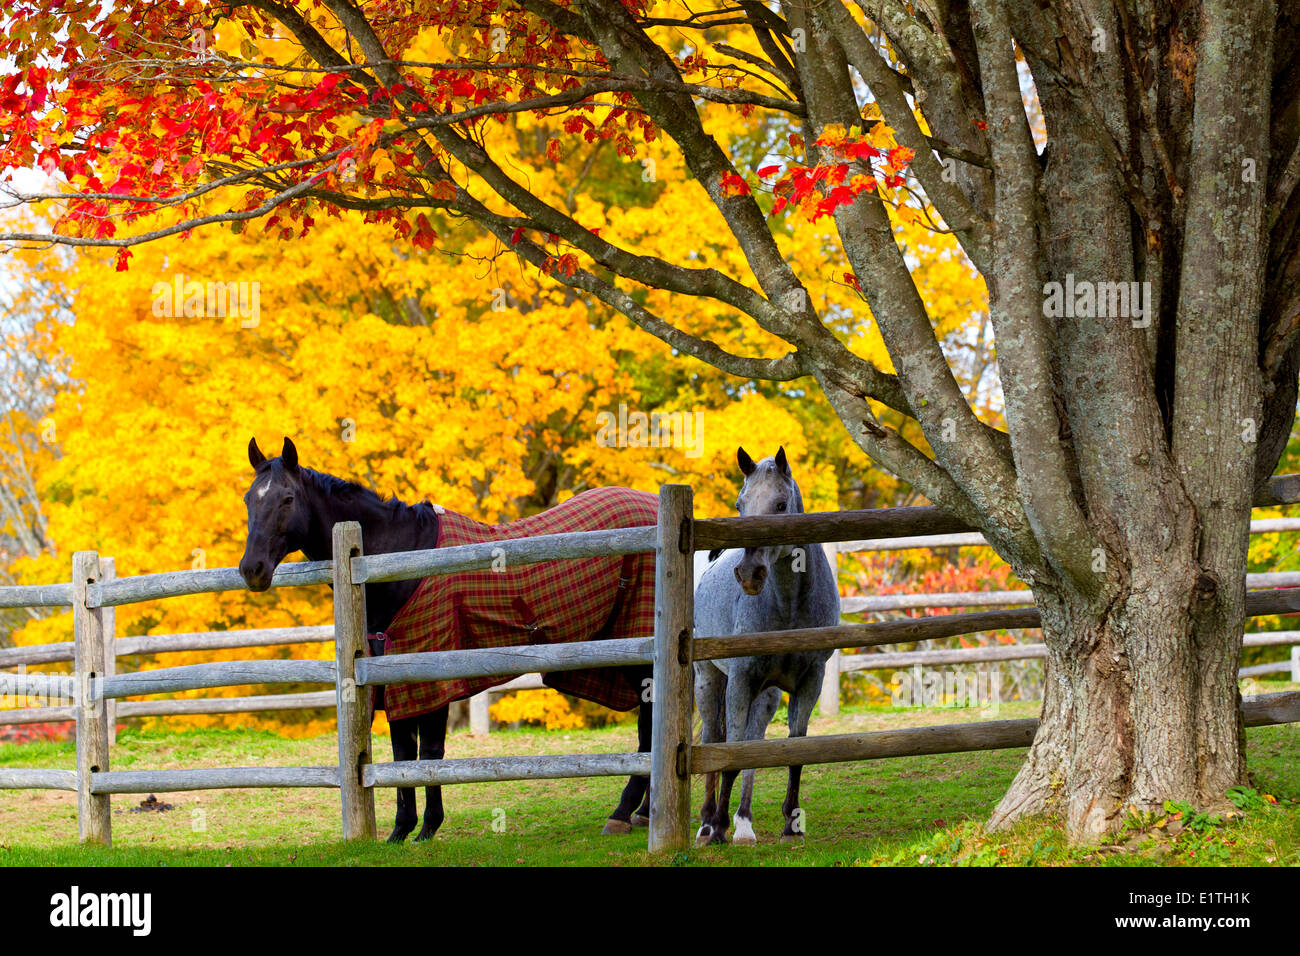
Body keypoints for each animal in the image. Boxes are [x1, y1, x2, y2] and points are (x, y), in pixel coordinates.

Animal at [696, 447, 837, 842]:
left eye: (780, 504)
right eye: (740, 505)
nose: (749, 575)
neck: (789, 605)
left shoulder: (810, 680)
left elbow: (793, 749)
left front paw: (792, 823)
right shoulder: (741, 679)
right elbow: (733, 751)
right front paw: (717, 826)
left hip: (766, 695)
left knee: (755, 740)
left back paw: (744, 822)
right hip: (709, 681)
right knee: (714, 738)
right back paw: (707, 822)